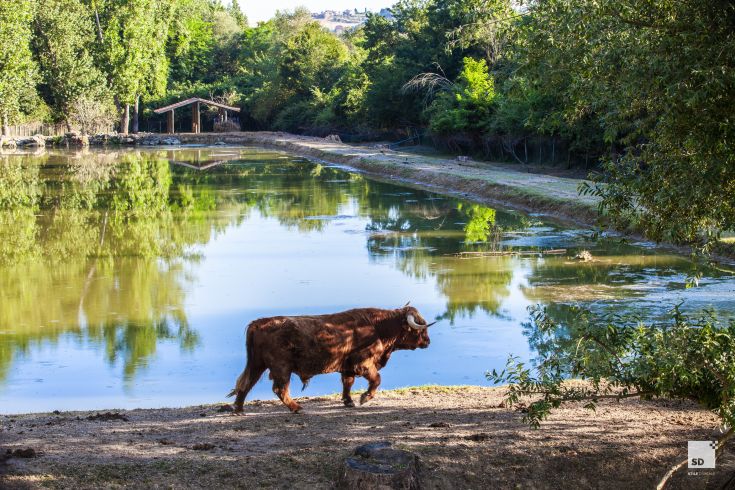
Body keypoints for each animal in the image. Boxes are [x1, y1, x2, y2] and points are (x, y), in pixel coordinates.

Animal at [227, 304, 435, 413]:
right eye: (421, 327)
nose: (428, 341)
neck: (378, 328)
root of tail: (258, 323)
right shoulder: (363, 363)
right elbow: (376, 379)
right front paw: (364, 398)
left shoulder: (348, 366)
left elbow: (348, 383)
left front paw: (349, 401)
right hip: (281, 367)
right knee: (279, 389)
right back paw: (297, 407)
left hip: (257, 364)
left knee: (246, 383)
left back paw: (239, 408)